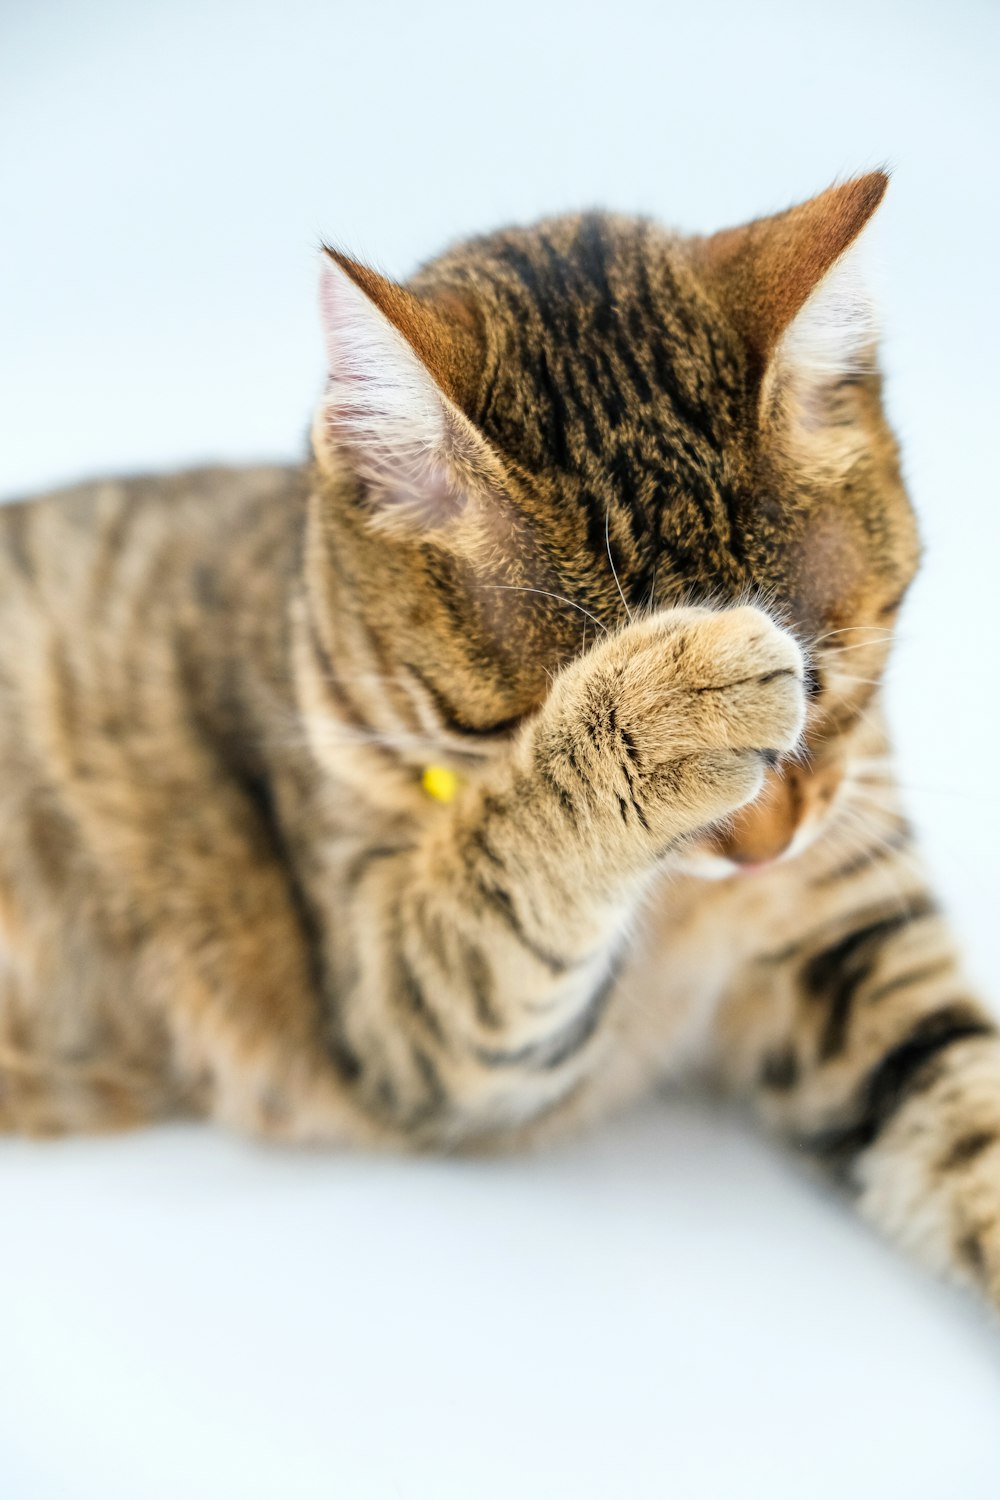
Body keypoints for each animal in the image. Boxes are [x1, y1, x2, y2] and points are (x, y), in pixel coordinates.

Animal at [1, 170, 1000, 1308]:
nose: (763, 850)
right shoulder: (407, 1022)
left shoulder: (856, 946)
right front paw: (658, 712)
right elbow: (505, 879)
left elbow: (969, 1119)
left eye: (835, 677)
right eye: (535, 711)